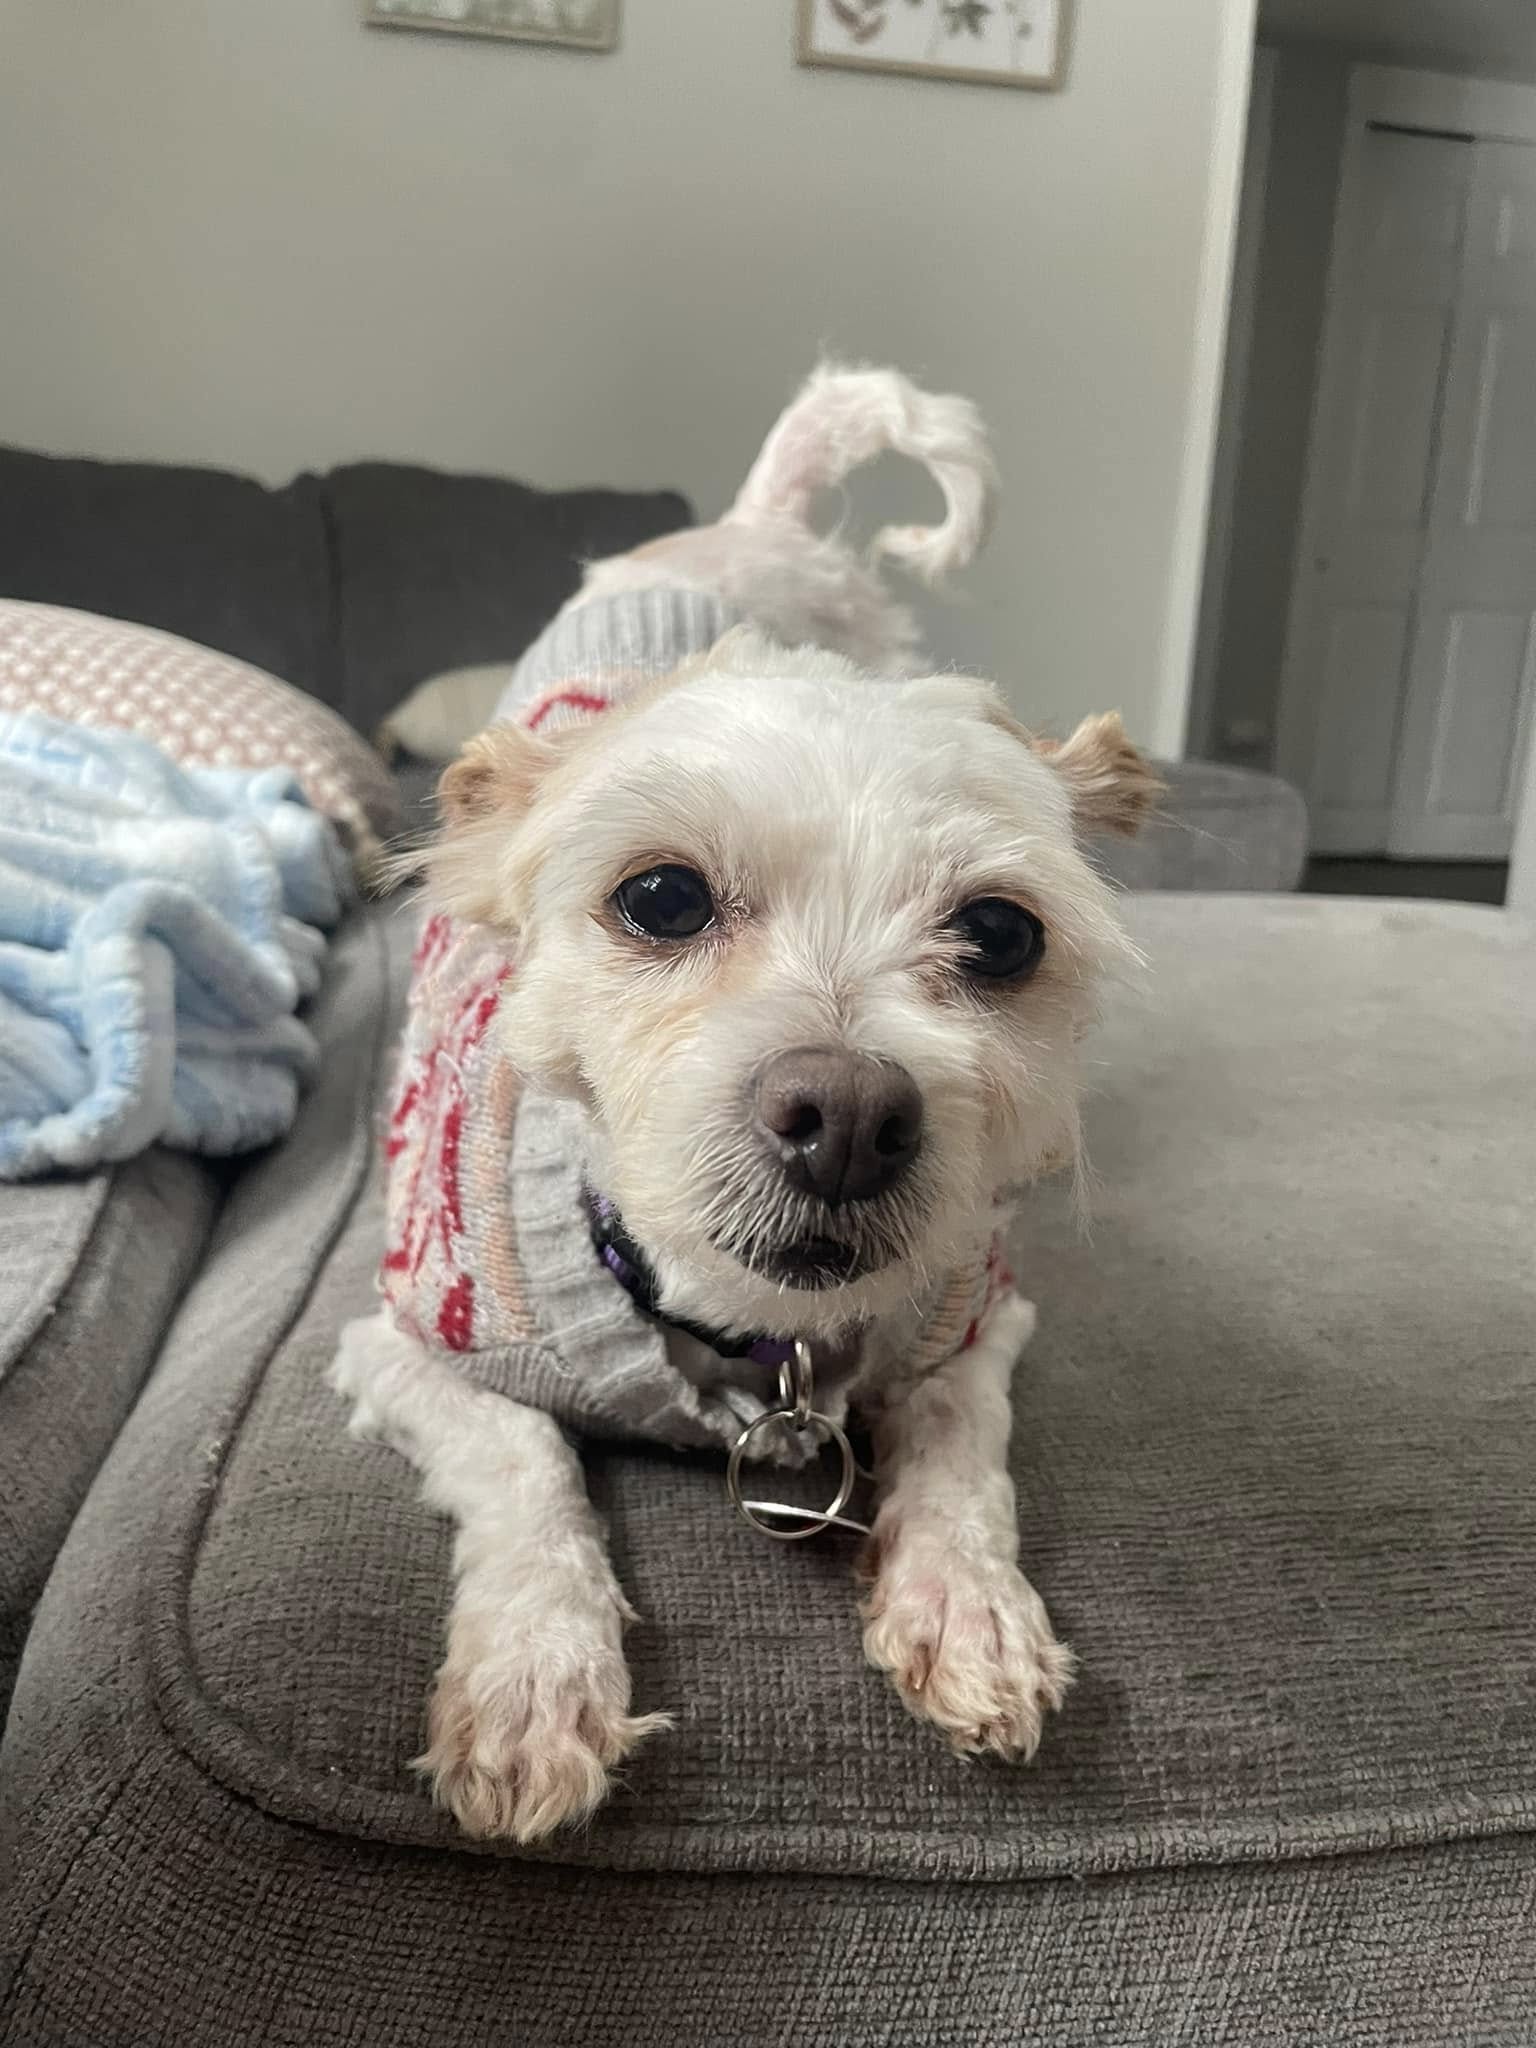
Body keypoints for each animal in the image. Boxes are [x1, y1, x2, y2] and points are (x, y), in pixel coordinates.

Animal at [335, 364, 1155, 1843]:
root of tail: (749, 528)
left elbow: (962, 1445)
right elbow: (523, 1461)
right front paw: (534, 1672)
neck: (755, 1331)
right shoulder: (405, 1344)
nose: (849, 1114)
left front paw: (968, 1603)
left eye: (1003, 934)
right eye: (660, 896)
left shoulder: (980, 1314)